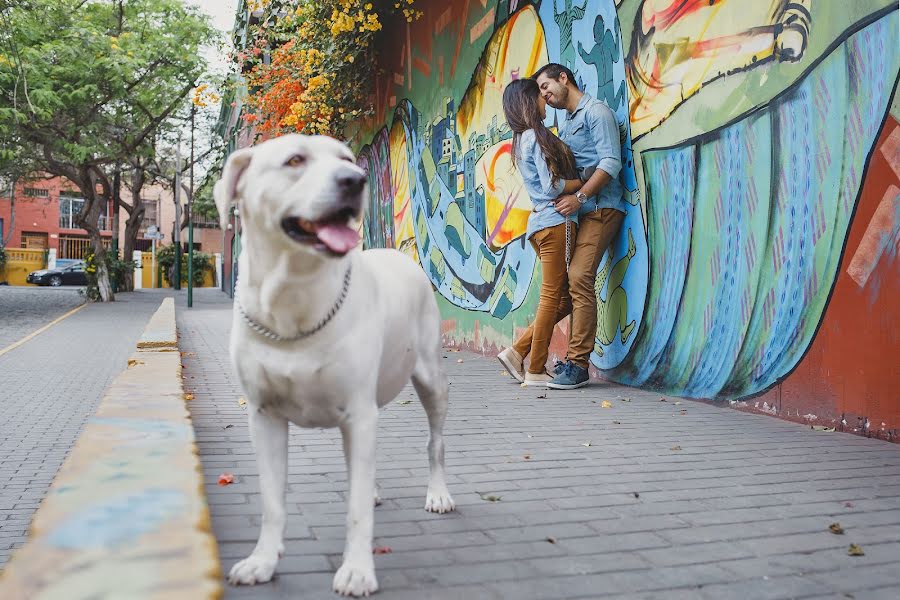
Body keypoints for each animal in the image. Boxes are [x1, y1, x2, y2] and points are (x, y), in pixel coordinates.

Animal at [214, 134, 454, 596]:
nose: (355, 180)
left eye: (346, 159)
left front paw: (358, 570)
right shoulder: (264, 417)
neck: (293, 299)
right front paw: (262, 561)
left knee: (434, 441)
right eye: (295, 160)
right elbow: (272, 501)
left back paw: (438, 493)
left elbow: (357, 508)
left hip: (432, 378)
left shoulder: (357, 412)